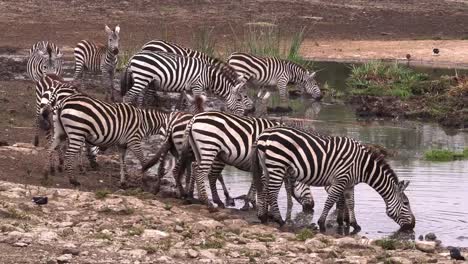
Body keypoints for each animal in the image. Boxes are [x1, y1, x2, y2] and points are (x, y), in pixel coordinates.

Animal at [39, 92, 168, 187]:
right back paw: (73, 181)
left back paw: (45, 174)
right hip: (77, 132)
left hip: (61, 132)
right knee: (68, 155)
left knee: (49, 148)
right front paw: (145, 181)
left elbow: (122, 162)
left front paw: (123, 183)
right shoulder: (134, 141)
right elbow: (143, 160)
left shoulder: (122, 145)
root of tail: (63, 102)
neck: (144, 122)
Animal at [120, 50, 252, 114]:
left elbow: (192, 103)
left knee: (139, 96)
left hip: (144, 80)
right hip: (142, 77)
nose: (245, 114)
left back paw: (140, 111)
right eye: (239, 99)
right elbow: (198, 104)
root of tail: (133, 56)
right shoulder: (197, 86)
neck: (210, 77)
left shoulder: (191, 89)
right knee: (128, 96)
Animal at [252, 126, 416, 231]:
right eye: (406, 203)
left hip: (267, 167)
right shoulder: (340, 180)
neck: (362, 166)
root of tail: (264, 135)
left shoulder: (349, 184)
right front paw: (322, 223)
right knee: (272, 193)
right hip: (277, 165)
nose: (413, 226)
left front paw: (354, 224)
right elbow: (330, 202)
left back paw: (263, 217)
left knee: (265, 189)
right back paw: (279, 220)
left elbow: (351, 203)